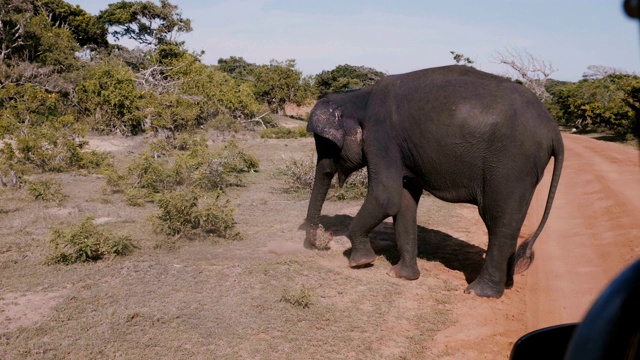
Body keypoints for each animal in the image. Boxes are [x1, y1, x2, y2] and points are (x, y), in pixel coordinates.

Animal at [302, 64, 564, 298]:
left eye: (325, 144)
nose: (318, 243)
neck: (357, 96)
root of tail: (554, 130)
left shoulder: (381, 137)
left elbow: (386, 197)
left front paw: (360, 263)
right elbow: (405, 202)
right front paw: (400, 276)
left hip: (511, 165)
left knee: (499, 220)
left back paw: (479, 292)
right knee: (507, 221)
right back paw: (506, 285)